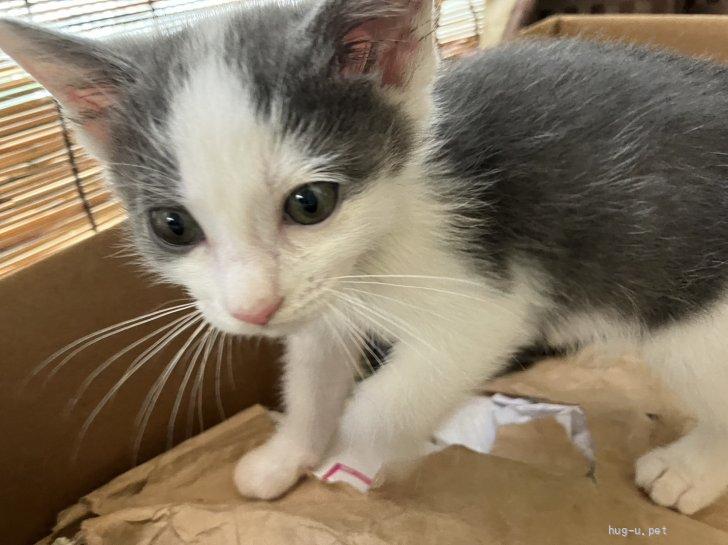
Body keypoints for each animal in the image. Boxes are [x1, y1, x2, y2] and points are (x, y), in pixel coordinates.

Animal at [4, 0, 728, 516]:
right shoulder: (316, 307)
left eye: (310, 203)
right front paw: (286, 454)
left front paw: (357, 456)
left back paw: (688, 468)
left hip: (691, 321)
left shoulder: (487, 303)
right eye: (172, 225)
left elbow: (383, 399)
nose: (254, 308)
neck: (372, 254)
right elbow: (311, 376)